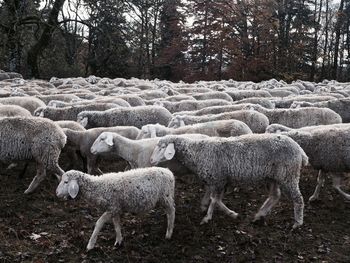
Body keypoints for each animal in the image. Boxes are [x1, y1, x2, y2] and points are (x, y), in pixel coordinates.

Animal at [149, 134, 308, 229]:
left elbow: (215, 200)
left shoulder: (218, 179)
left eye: (162, 147)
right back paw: (259, 214)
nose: (151, 160)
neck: (196, 151)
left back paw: (297, 223)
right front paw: (207, 208)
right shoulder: (217, 180)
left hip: (289, 175)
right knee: (275, 196)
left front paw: (209, 217)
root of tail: (299, 149)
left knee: (298, 198)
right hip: (273, 177)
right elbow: (214, 199)